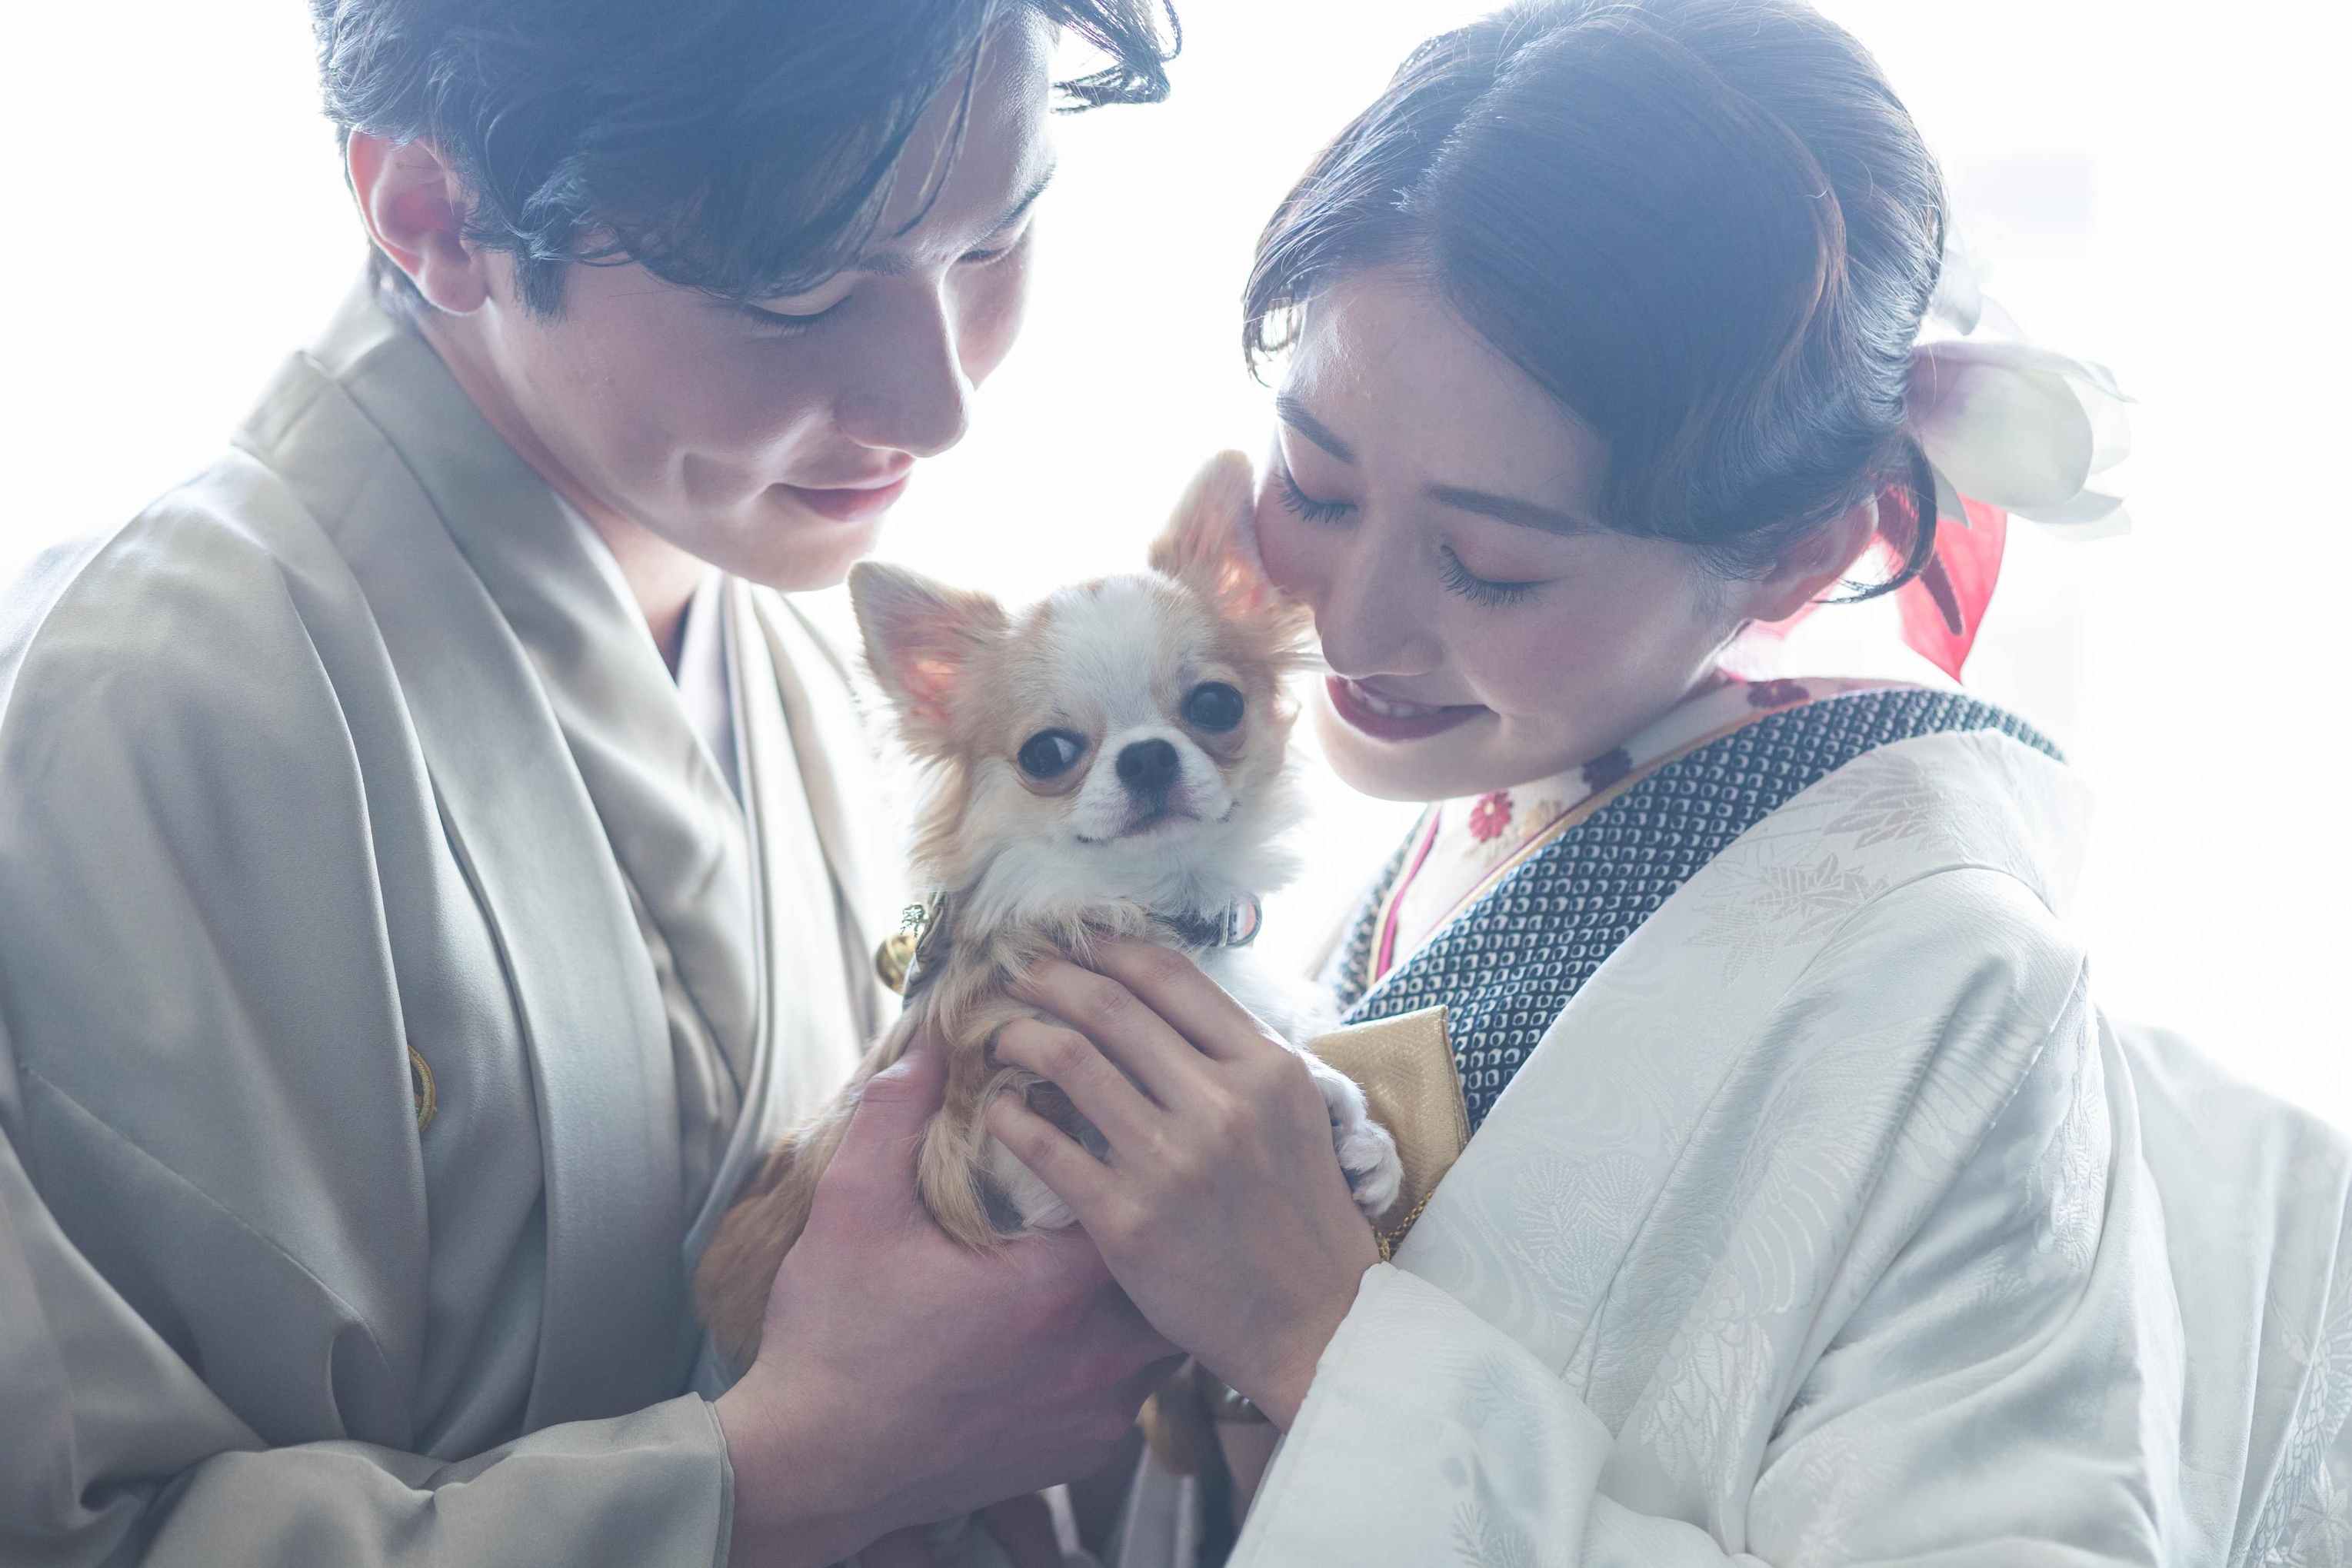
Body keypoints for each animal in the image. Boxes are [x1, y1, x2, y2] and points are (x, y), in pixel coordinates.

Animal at [694, 451, 1403, 1375]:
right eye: (1048, 752)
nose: (1146, 756)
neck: (1150, 908)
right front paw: (1320, 1090)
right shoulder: (983, 1140)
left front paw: (1369, 1149)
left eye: (1216, 705)